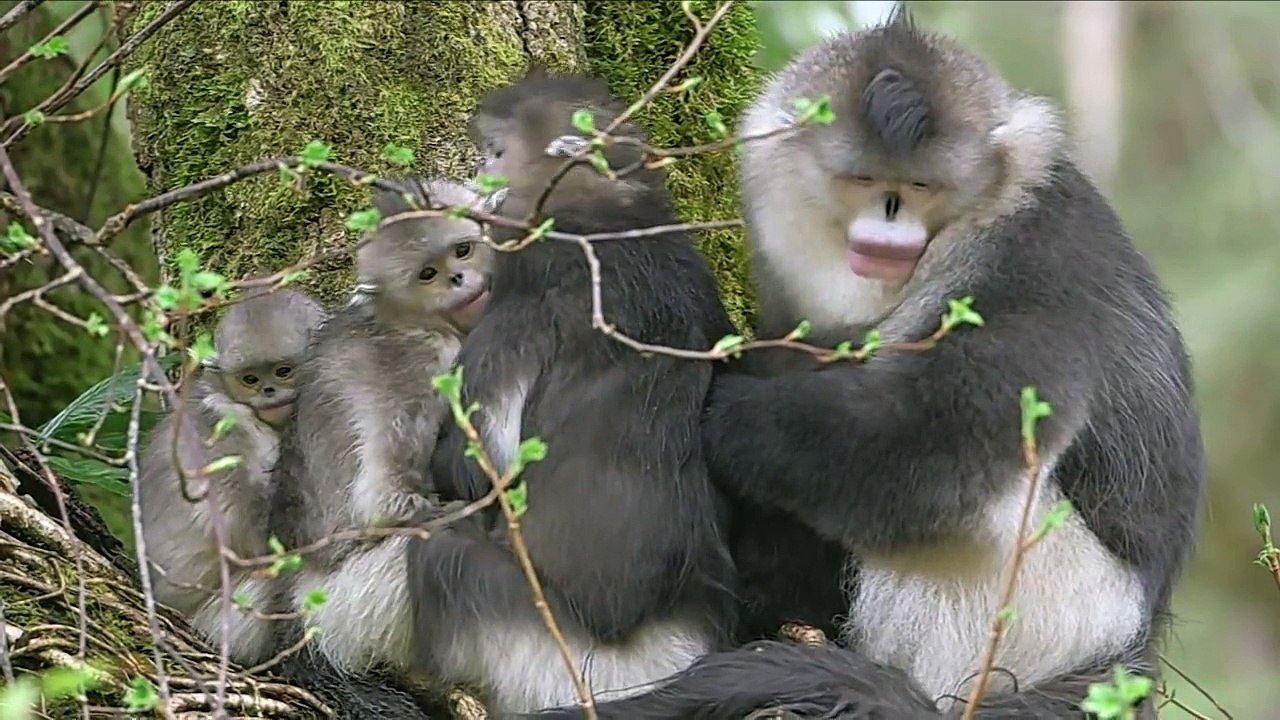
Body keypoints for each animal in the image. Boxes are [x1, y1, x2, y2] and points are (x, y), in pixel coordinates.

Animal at [403, 70, 742, 716]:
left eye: (496, 152)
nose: (480, 177)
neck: (613, 217)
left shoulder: (528, 291)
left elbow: (472, 467)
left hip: (550, 653)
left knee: (439, 553)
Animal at [532, 8, 1205, 719]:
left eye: (920, 186)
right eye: (862, 181)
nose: (888, 218)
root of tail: (1118, 657)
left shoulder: (1036, 274)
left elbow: (934, 454)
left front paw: (727, 410)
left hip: (1043, 609)